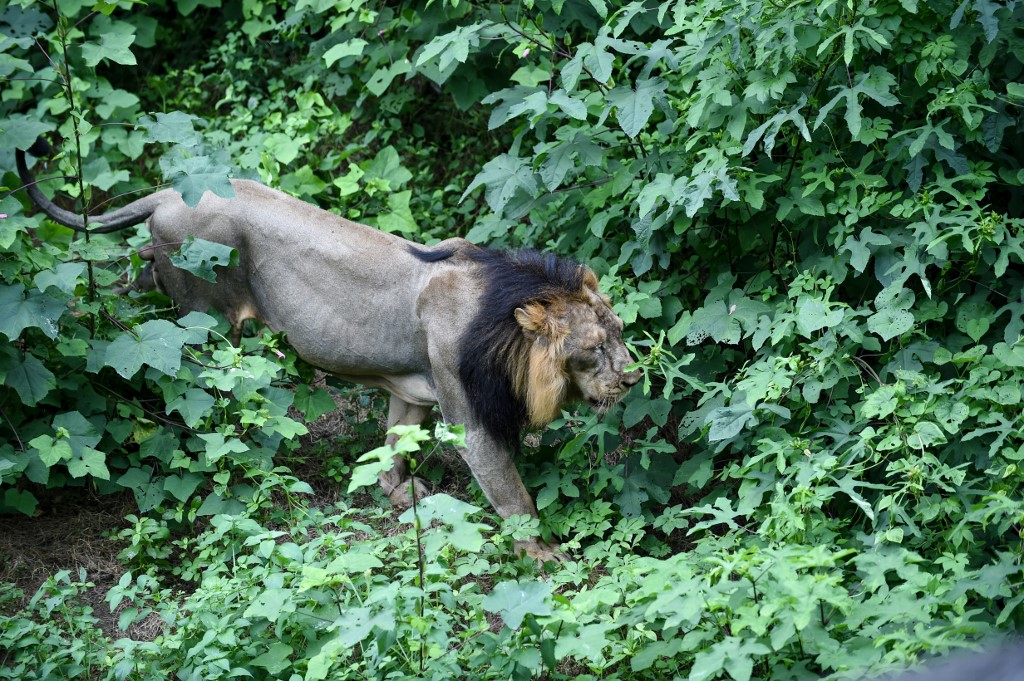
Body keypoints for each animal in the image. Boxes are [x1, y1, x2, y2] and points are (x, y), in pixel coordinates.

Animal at [16, 146, 638, 561]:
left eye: (621, 330)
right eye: (594, 348)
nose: (633, 379)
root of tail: (169, 192)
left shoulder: (414, 389)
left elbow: (393, 445)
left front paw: (398, 493)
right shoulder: (472, 420)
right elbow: (514, 498)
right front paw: (546, 558)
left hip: (160, 284)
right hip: (206, 319)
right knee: (201, 392)